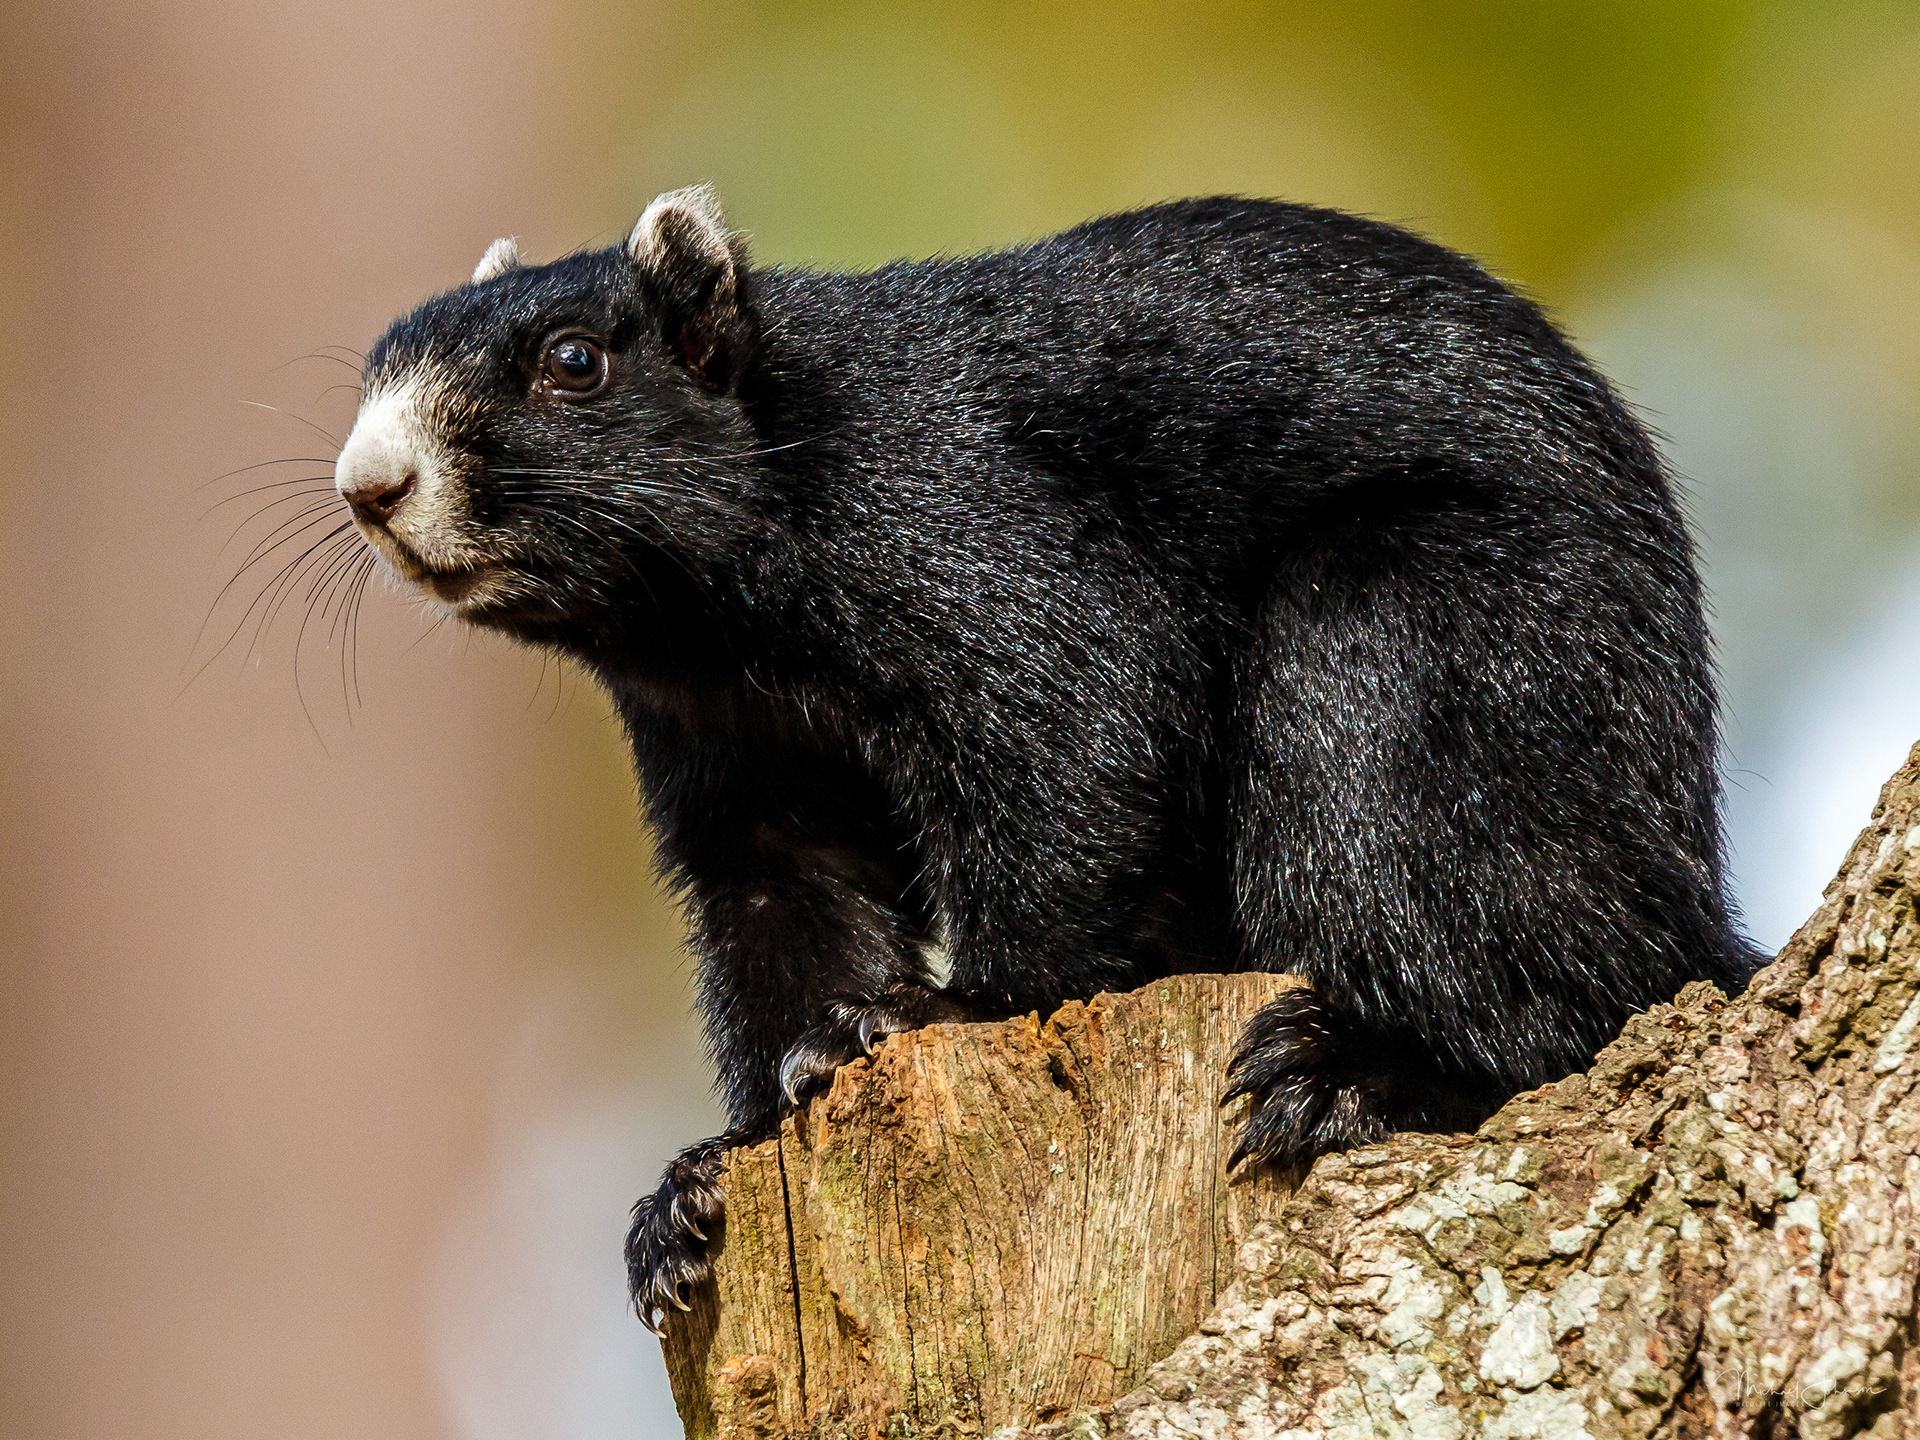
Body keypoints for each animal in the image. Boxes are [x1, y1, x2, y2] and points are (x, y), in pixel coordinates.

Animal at [330, 186, 1760, 1331]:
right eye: (375, 364)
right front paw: (703, 1181)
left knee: (1543, 987)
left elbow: (1082, 741)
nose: (368, 483)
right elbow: (786, 915)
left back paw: (1357, 1070)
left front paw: (937, 1014)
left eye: (574, 359)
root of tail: (1685, 888)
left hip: (1422, 650)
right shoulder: (739, 757)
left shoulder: (971, 525)